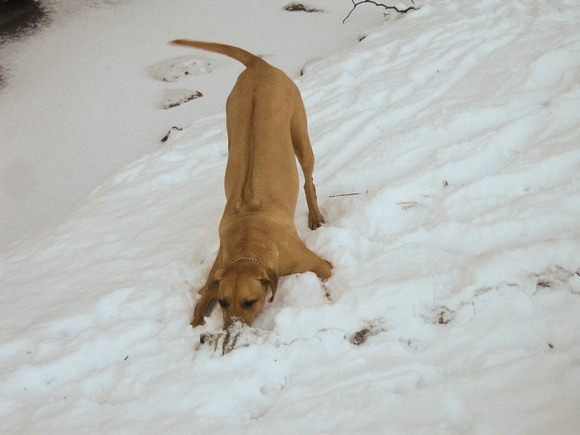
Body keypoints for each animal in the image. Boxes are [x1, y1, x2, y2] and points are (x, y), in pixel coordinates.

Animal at [170, 40, 330, 328]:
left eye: (249, 302)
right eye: (223, 302)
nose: (230, 330)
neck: (250, 236)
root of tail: (259, 65)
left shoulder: (318, 263)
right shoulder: (216, 273)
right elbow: (200, 302)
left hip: (300, 135)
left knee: (308, 180)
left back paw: (314, 216)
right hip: (230, 125)